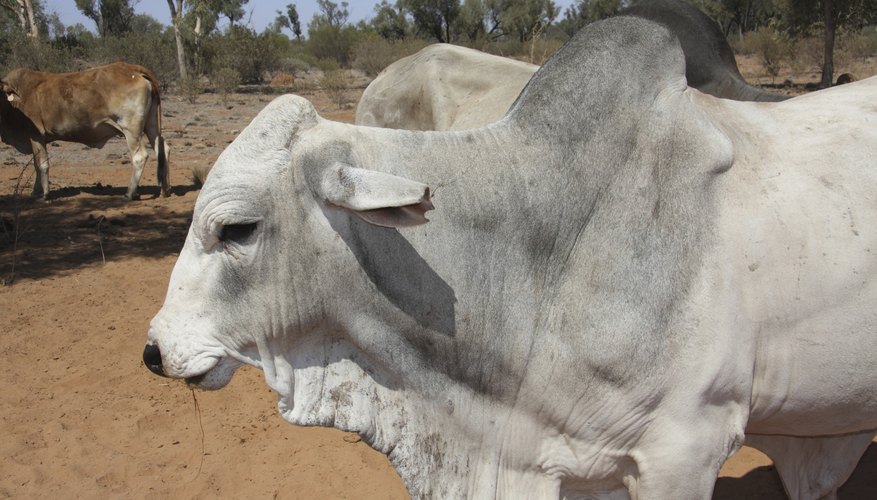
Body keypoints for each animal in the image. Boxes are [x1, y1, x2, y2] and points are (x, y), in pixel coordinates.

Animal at [0, 63, 169, 201]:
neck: (15, 100)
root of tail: (134, 69)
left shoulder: (36, 136)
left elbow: (42, 165)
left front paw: (44, 195)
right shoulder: (36, 139)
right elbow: (36, 165)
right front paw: (35, 192)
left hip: (131, 129)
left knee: (140, 157)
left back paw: (129, 193)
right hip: (151, 126)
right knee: (163, 149)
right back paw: (164, 190)